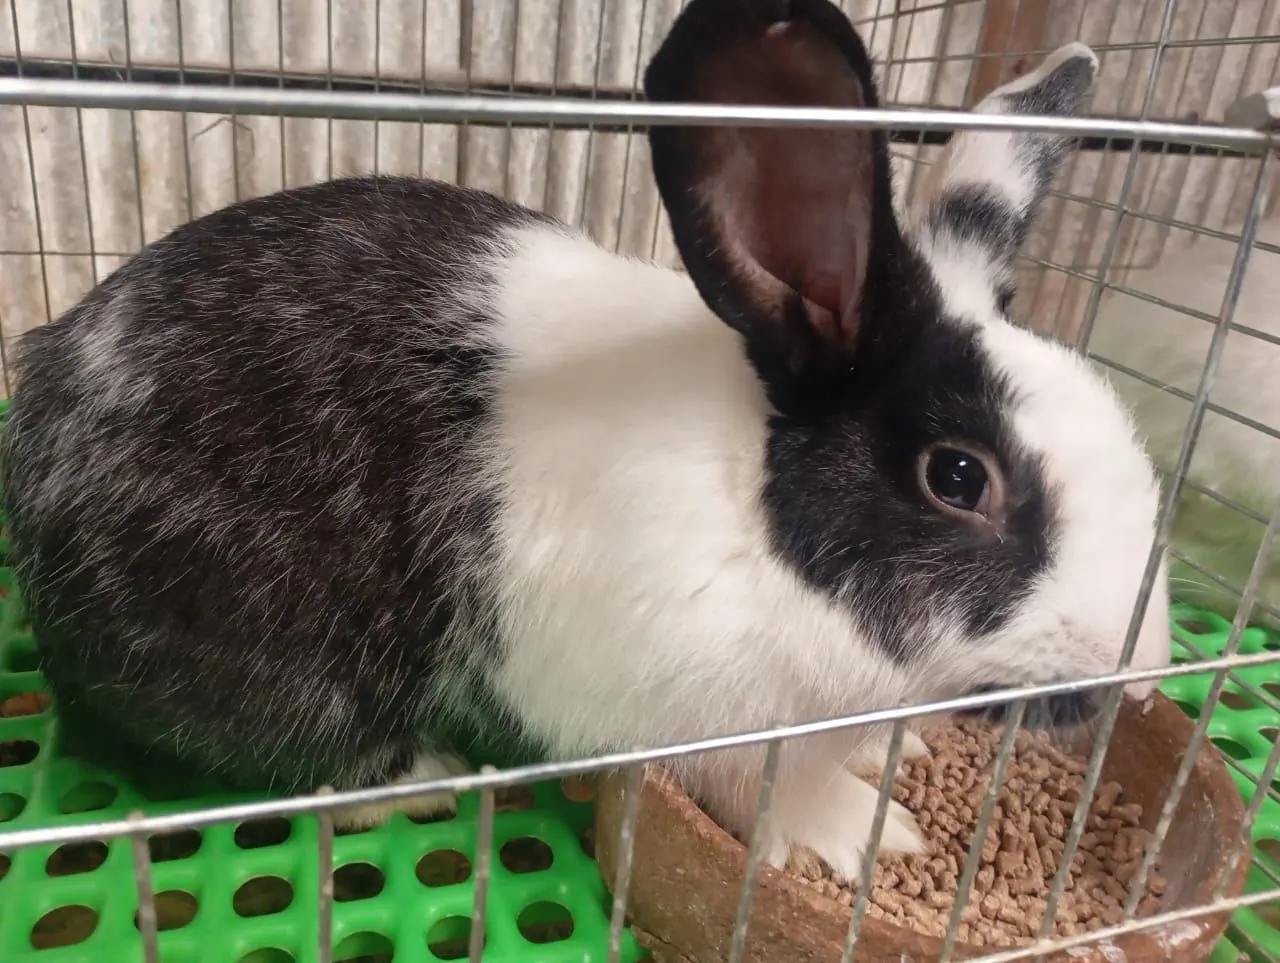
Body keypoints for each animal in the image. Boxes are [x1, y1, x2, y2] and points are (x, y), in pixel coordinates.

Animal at [0, 0, 1172, 879]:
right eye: (957, 476)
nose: (1141, 673)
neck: (763, 530)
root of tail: (49, 393)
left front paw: (897, 755)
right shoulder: (702, 716)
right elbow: (760, 789)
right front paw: (860, 834)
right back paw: (419, 774)